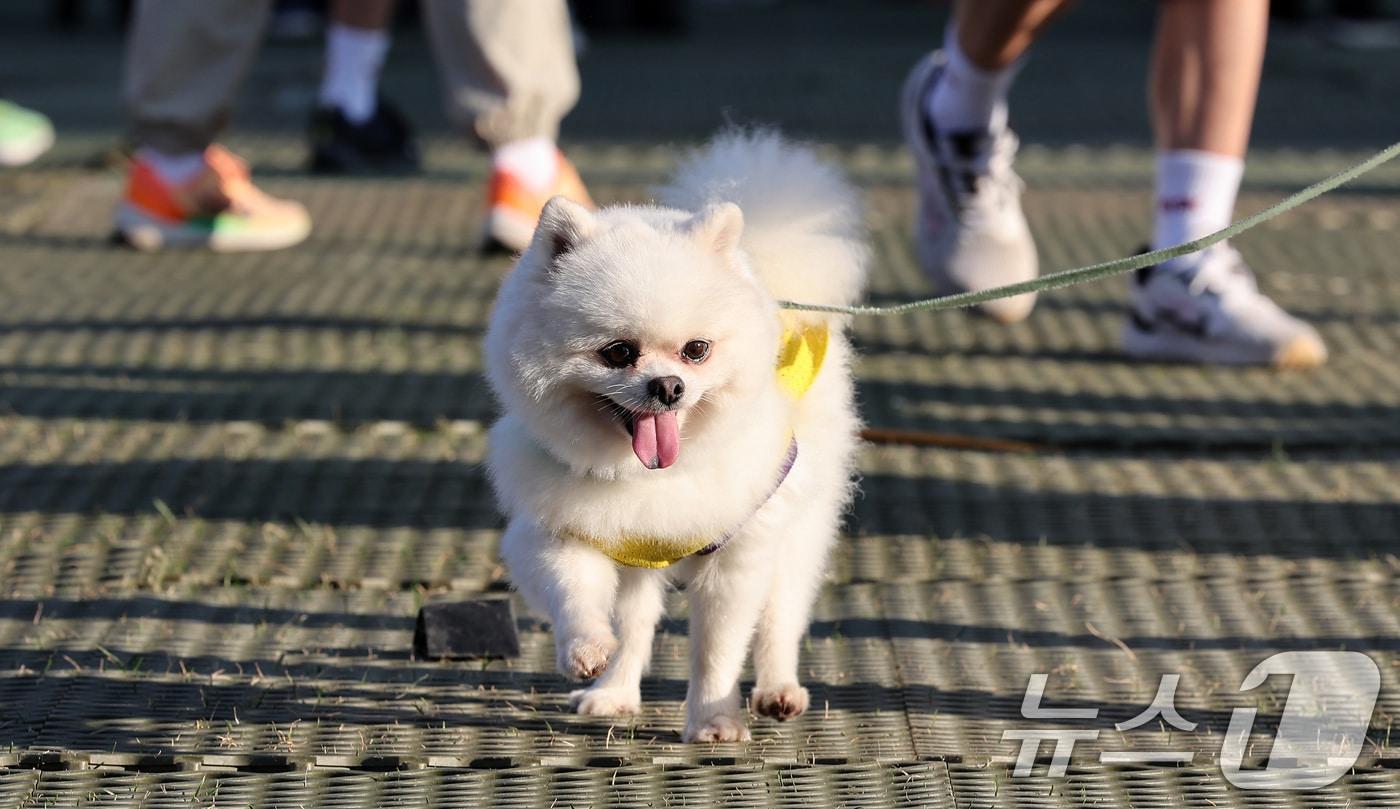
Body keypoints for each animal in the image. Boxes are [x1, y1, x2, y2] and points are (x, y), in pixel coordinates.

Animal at [487, 128, 868, 739]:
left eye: (697, 350)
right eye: (618, 352)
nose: (668, 386)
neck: (643, 476)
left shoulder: (736, 555)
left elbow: (717, 649)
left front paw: (713, 719)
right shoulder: (563, 530)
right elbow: (578, 595)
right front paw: (588, 652)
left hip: (799, 519)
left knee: (781, 613)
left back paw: (778, 689)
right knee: (638, 622)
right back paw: (614, 692)